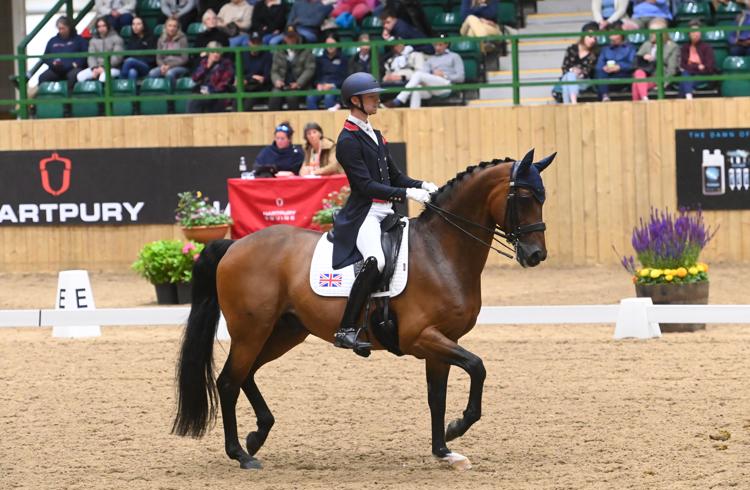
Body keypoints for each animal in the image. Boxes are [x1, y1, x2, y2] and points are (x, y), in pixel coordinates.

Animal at [173, 150, 556, 470]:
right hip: (251, 331)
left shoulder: (442, 342)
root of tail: (235, 244)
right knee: (228, 382)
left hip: (284, 331)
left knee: (246, 375)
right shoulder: (422, 337)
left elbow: (437, 396)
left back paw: (257, 435)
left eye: (543, 198)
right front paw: (456, 427)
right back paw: (240, 454)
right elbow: (477, 367)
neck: (440, 250)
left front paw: (443, 450)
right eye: (524, 197)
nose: (536, 255)